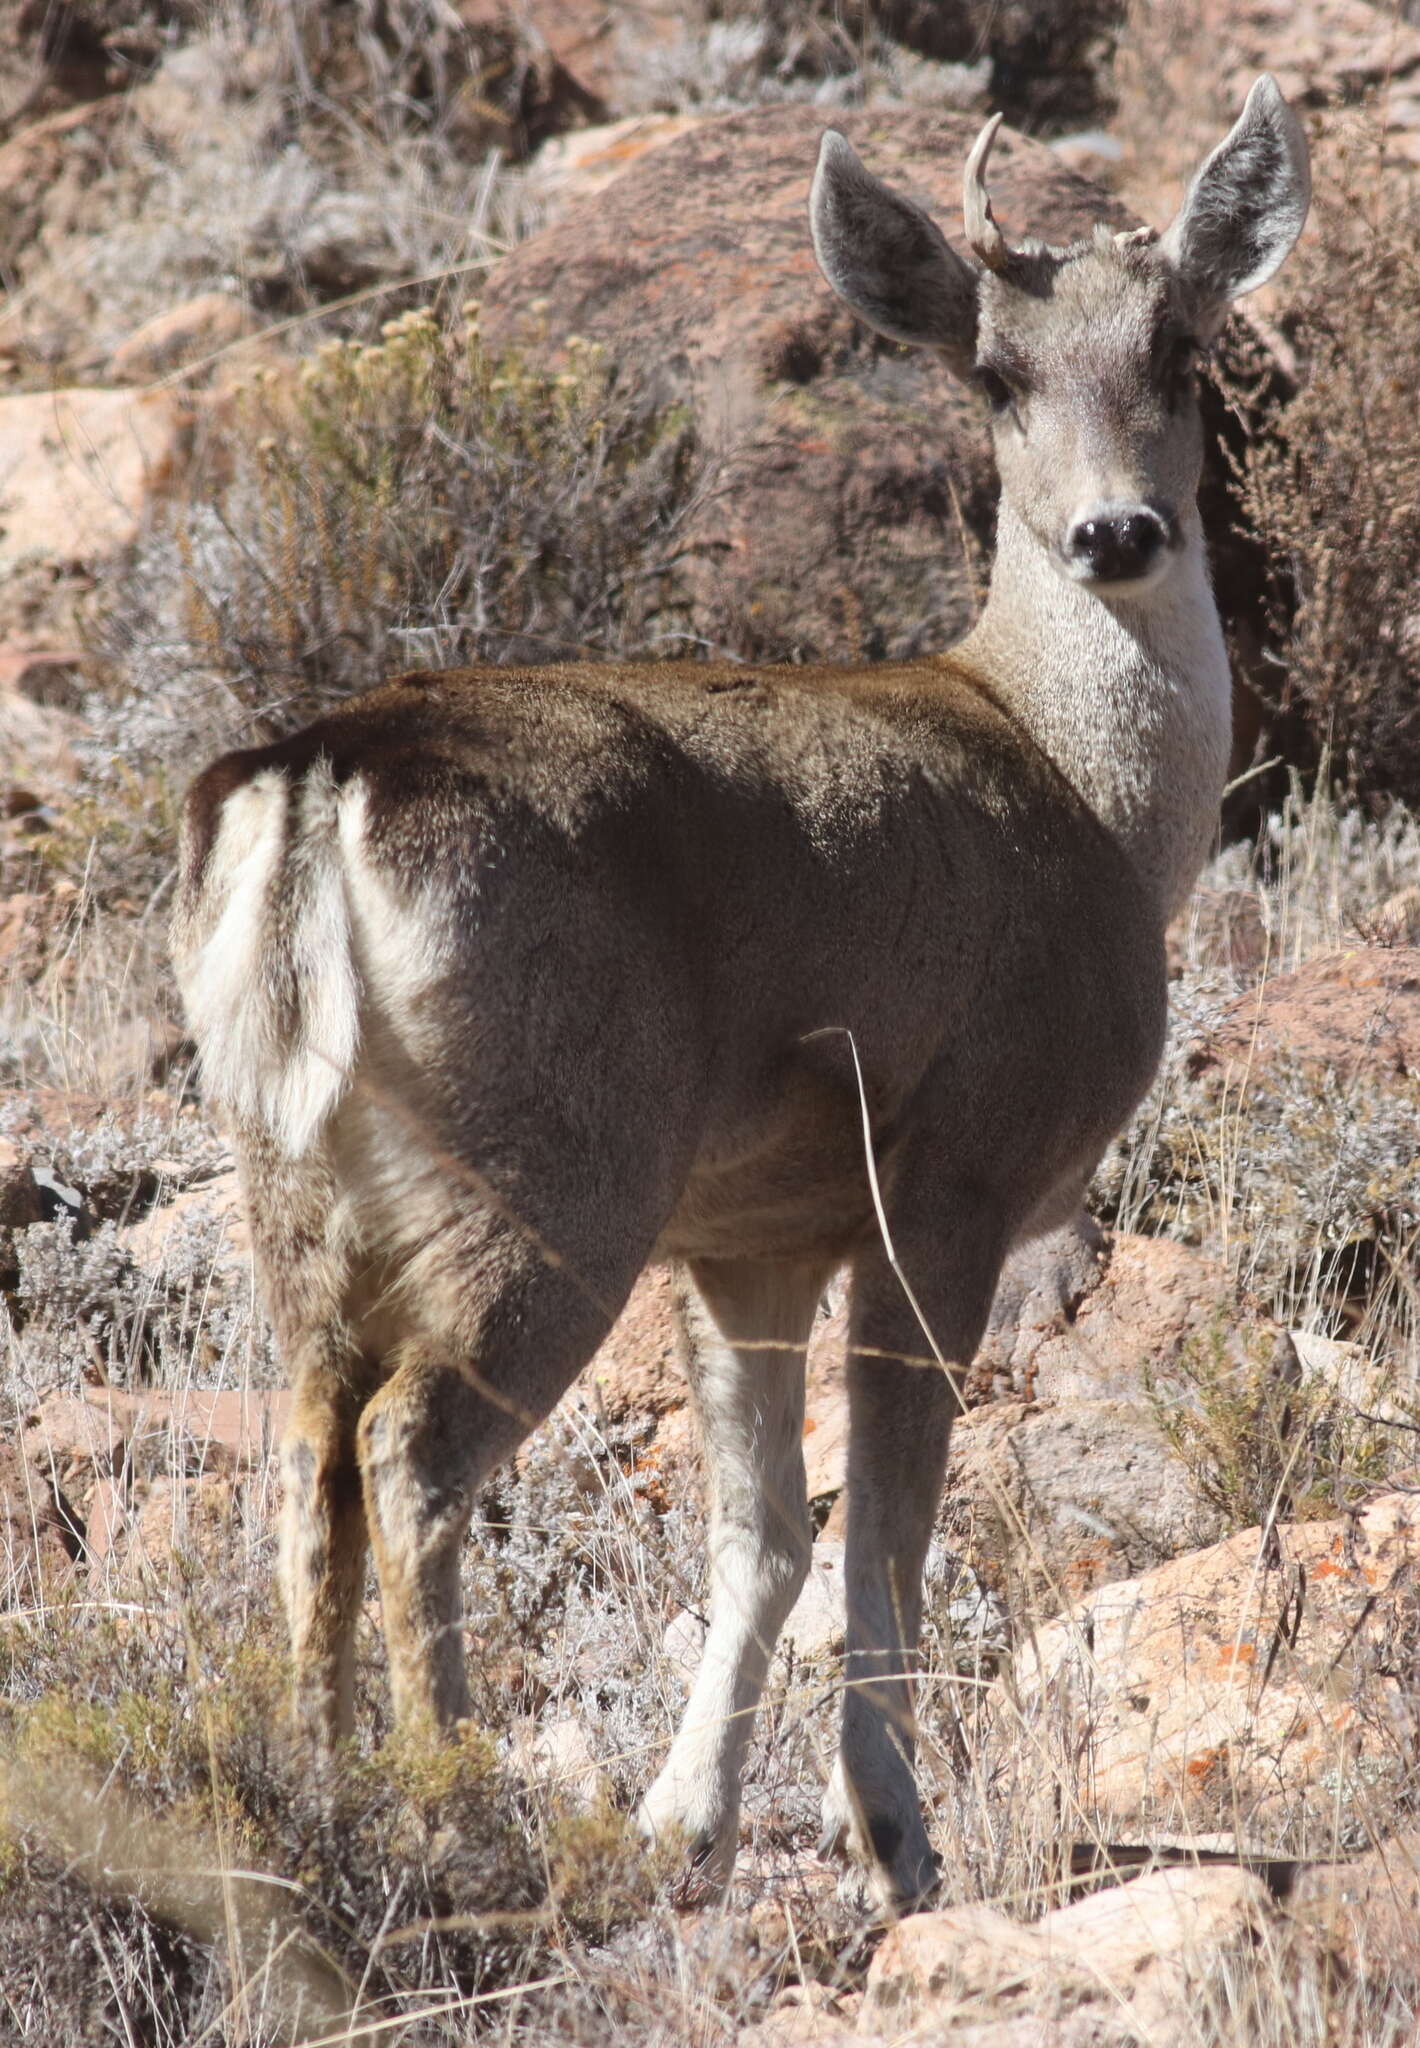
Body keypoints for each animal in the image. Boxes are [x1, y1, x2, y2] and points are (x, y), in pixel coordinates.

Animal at [174, 75, 1303, 1900]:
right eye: (993, 375)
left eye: (1187, 346)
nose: (1117, 530)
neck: (1090, 800)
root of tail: (313, 775)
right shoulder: (950, 1170)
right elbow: (890, 1522)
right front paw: (896, 1833)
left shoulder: (752, 1228)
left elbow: (763, 1528)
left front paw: (685, 1823)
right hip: (561, 1159)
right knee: (412, 1450)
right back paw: (452, 1800)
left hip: (296, 1176)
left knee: (304, 1446)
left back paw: (317, 1788)